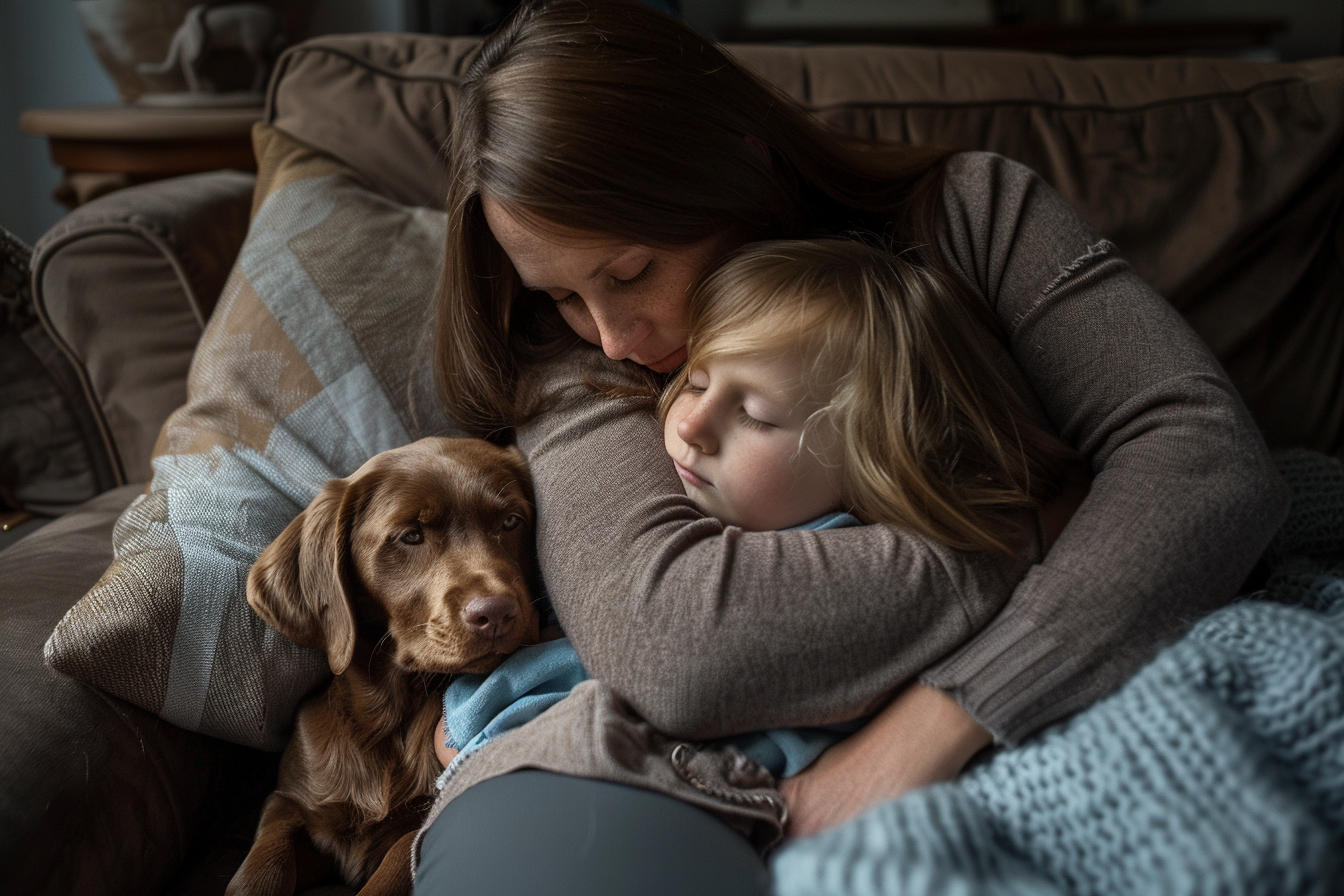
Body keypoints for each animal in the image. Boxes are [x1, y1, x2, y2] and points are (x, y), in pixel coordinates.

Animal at [229, 440, 540, 896]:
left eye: (512, 521)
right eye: (411, 536)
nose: (496, 613)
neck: (389, 716)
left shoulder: (416, 828)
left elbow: (390, 871)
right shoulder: (289, 803)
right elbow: (262, 863)